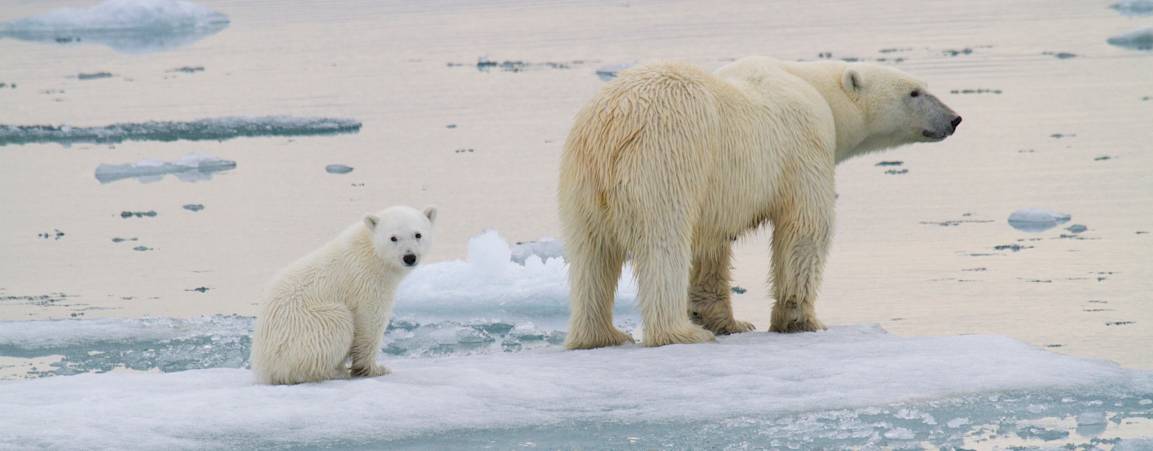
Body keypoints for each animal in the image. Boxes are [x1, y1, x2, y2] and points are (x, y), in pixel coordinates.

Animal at [250, 205, 436, 384]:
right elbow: (370, 322)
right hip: (305, 328)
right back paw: (335, 372)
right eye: (393, 238)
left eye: (418, 234)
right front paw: (375, 369)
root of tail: (265, 370)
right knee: (337, 322)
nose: (409, 257)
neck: (372, 253)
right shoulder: (366, 282)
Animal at [559, 57, 961, 349]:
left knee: (590, 255)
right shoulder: (804, 146)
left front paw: (727, 321)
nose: (955, 118)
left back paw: (601, 336)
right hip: (665, 160)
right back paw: (679, 333)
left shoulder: (717, 192)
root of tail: (612, 127)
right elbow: (805, 228)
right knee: (663, 244)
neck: (816, 90)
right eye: (914, 92)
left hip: (581, 180)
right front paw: (801, 320)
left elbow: (711, 245)